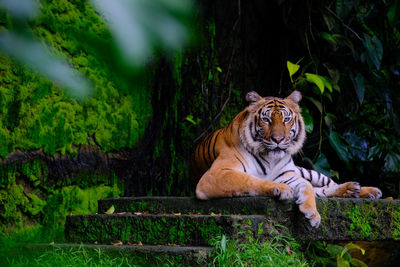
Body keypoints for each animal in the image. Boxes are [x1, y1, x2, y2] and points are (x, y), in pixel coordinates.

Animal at [192, 90, 382, 228]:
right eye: (266, 119)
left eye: (286, 119)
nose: (278, 139)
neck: (270, 159)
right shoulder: (215, 175)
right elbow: (250, 180)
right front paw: (282, 189)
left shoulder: (288, 174)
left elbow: (307, 186)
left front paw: (312, 213)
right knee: (321, 190)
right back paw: (354, 190)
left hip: (307, 171)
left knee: (326, 185)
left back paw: (362, 189)